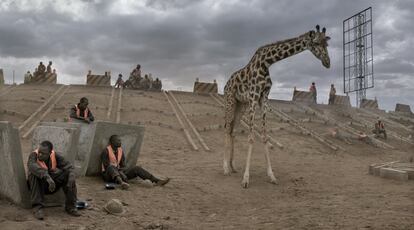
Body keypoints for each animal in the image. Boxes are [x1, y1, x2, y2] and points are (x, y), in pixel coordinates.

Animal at [223, 24, 330, 188]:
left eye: (327, 44)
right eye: (317, 42)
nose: (327, 62)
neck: (267, 62)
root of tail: (226, 84)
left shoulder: (264, 98)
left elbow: (265, 137)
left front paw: (271, 176)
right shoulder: (254, 96)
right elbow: (251, 137)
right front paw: (246, 179)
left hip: (241, 104)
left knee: (232, 131)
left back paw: (233, 165)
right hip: (230, 100)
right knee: (226, 128)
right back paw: (225, 168)